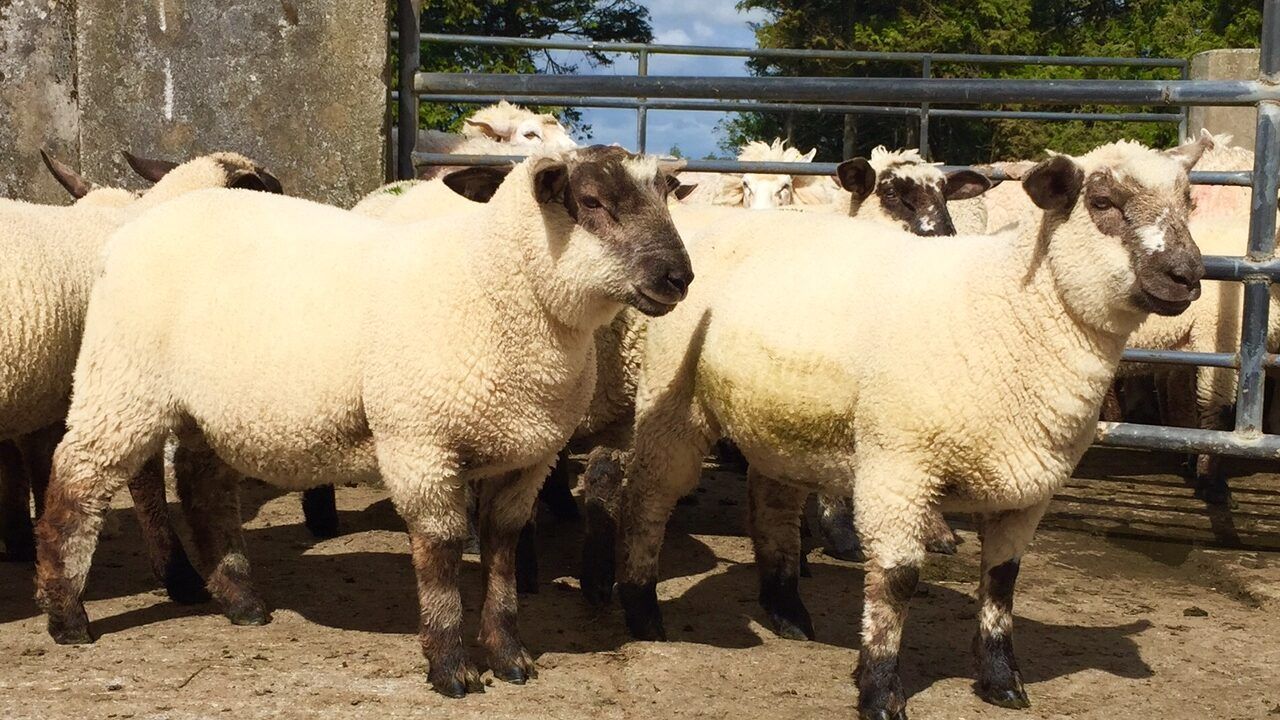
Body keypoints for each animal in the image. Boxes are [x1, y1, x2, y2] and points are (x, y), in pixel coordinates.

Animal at [33, 146, 693, 698]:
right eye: (592, 202)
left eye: (667, 195)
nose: (679, 278)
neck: (491, 284)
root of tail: (140, 221)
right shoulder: (418, 439)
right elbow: (441, 550)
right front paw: (451, 666)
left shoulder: (529, 457)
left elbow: (502, 550)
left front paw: (510, 656)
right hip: (123, 380)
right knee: (77, 480)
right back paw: (67, 616)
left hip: (212, 408)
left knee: (203, 487)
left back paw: (241, 600)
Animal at [585, 136, 1208, 719]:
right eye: (1102, 202)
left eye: (1189, 202)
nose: (1187, 276)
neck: (1010, 308)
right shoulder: (899, 466)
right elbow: (897, 580)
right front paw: (881, 691)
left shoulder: (1029, 490)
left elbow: (1002, 581)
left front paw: (1001, 681)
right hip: (672, 399)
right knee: (648, 498)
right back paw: (643, 611)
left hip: (780, 416)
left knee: (773, 503)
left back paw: (787, 610)